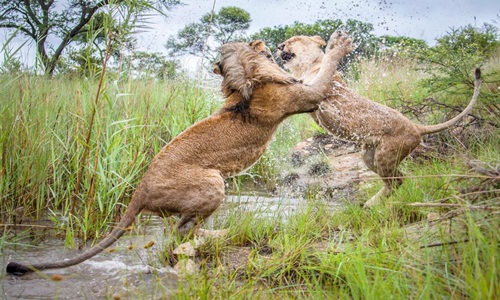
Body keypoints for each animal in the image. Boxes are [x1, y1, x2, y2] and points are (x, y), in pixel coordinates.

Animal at [5, 31, 354, 276]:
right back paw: (214, 237)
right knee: (179, 233)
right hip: (212, 180)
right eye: (261, 48)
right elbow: (323, 74)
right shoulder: (305, 95)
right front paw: (338, 45)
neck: (248, 79)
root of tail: (139, 191)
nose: (273, 46)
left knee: (182, 231)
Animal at [278, 34, 480, 206]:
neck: (305, 67)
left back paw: (371, 204)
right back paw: (370, 204)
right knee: (397, 179)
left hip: (385, 155)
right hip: (369, 156)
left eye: (293, 40)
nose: (279, 46)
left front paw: (336, 46)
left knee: (397, 180)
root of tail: (416, 126)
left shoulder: (318, 90)